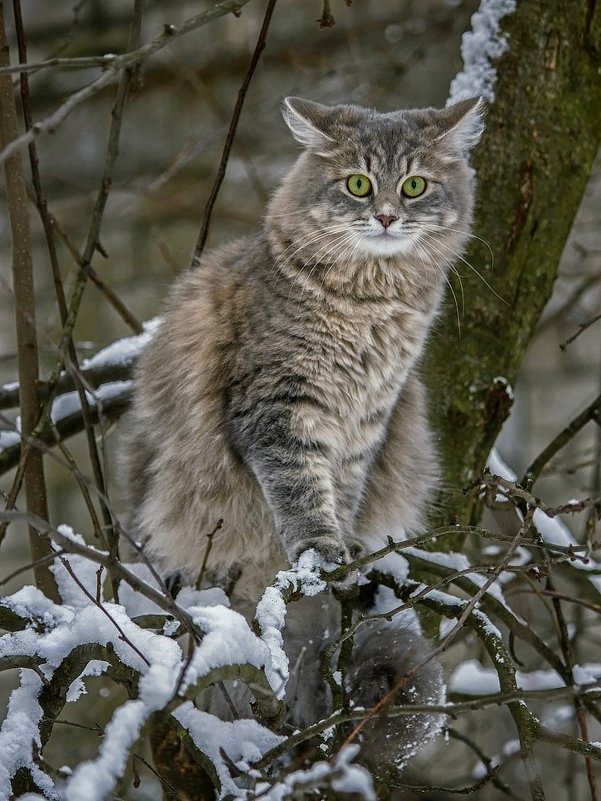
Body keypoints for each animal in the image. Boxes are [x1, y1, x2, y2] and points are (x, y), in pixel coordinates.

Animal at [122, 94, 482, 776]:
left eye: (415, 185)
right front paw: (321, 551)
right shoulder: (278, 408)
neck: (371, 303)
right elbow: (300, 492)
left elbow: (340, 493)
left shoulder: (368, 421)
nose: (387, 216)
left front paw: (343, 551)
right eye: (358, 185)